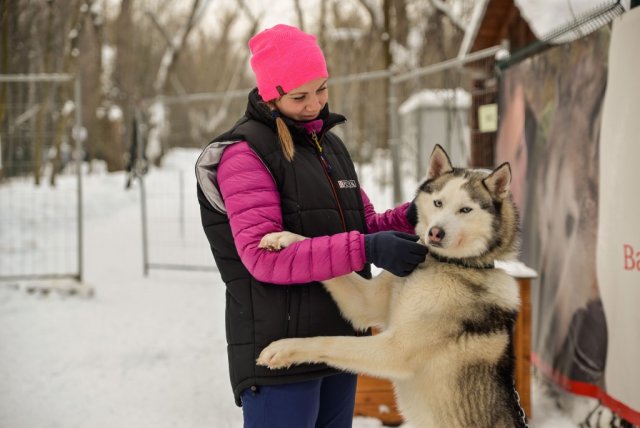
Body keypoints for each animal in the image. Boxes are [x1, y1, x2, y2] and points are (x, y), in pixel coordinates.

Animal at [258, 145, 528, 426]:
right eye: (438, 203)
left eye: (465, 210)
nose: (435, 233)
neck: (446, 263)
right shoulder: (365, 303)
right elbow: (320, 253)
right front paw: (283, 237)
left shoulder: (394, 349)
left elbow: (328, 342)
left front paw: (282, 349)